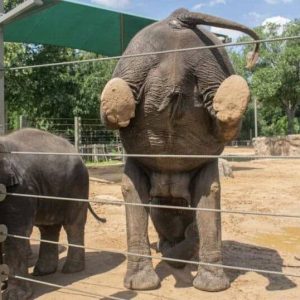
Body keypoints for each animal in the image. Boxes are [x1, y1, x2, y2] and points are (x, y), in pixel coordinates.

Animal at [0, 129, 92, 300]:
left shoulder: (20, 189)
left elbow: (16, 233)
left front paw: (14, 296)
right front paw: (3, 284)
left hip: (78, 185)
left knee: (73, 225)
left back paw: (70, 270)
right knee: (48, 228)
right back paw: (43, 272)